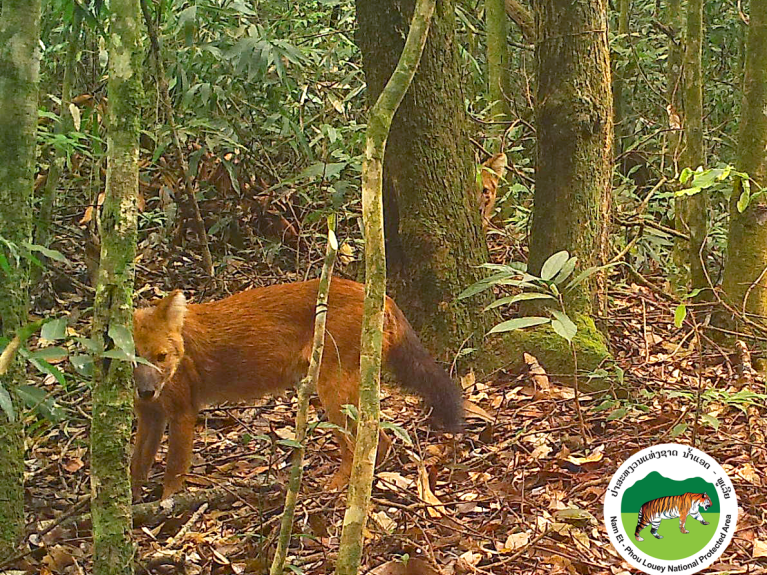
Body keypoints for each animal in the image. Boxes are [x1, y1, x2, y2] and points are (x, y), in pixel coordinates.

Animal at [130, 278, 462, 500]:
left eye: (161, 356)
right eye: (133, 358)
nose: (146, 391)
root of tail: (380, 294)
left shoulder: (182, 412)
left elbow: (173, 471)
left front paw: (165, 506)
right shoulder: (150, 416)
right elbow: (135, 466)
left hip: (332, 389)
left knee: (363, 444)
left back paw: (338, 487)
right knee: (380, 440)